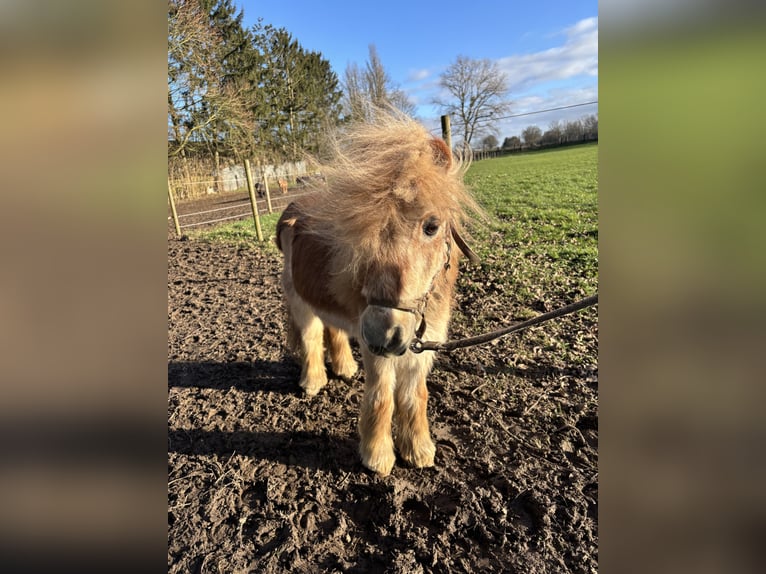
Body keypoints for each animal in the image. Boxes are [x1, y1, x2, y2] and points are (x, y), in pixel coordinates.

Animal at [276, 113, 480, 476]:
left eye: (431, 226)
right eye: (359, 233)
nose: (383, 333)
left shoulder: (423, 346)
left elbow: (415, 395)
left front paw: (418, 449)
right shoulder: (378, 351)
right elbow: (382, 396)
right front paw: (378, 456)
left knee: (333, 327)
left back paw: (344, 368)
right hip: (300, 301)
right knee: (312, 337)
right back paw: (313, 381)